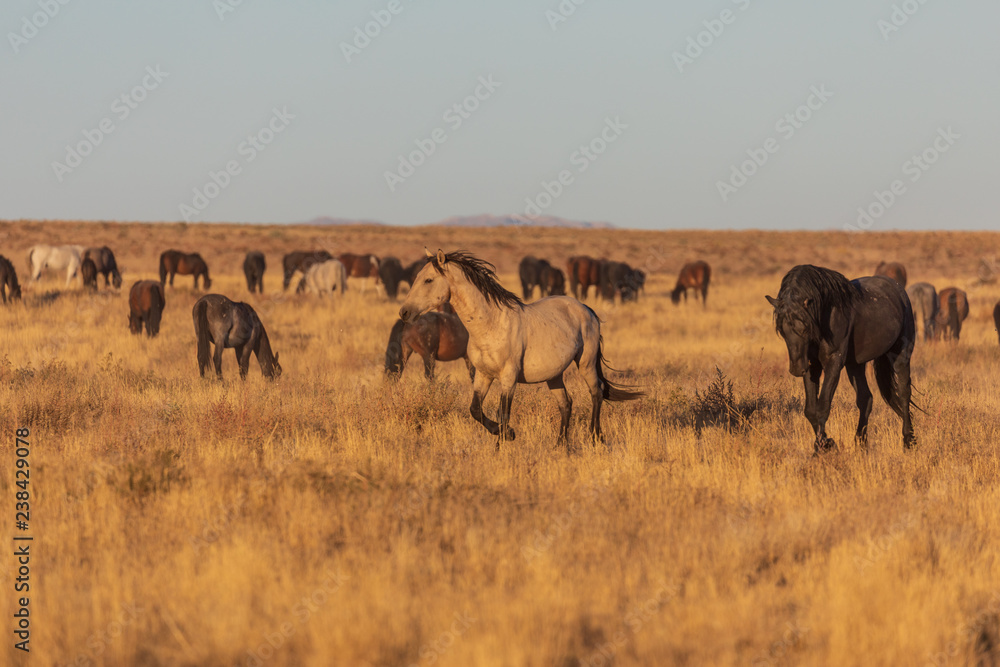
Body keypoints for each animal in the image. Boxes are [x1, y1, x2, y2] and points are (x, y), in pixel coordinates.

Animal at [399, 249, 642, 447]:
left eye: (428, 280)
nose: (404, 312)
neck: (491, 325)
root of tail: (586, 309)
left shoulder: (509, 377)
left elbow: (504, 412)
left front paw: (505, 440)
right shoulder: (483, 375)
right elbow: (475, 409)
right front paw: (505, 434)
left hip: (586, 364)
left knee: (596, 393)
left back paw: (595, 438)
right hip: (554, 376)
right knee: (566, 403)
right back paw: (560, 446)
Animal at [766, 264, 917, 453]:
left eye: (805, 329)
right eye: (782, 331)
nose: (796, 369)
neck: (826, 315)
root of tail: (899, 290)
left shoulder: (834, 362)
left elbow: (823, 406)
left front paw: (823, 446)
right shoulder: (812, 366)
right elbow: (811, 410)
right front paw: (824, 444)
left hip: (900, 355)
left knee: (904, 393)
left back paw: (908, 440)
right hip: (855, 365)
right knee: (866, 399)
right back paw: (861, 442)